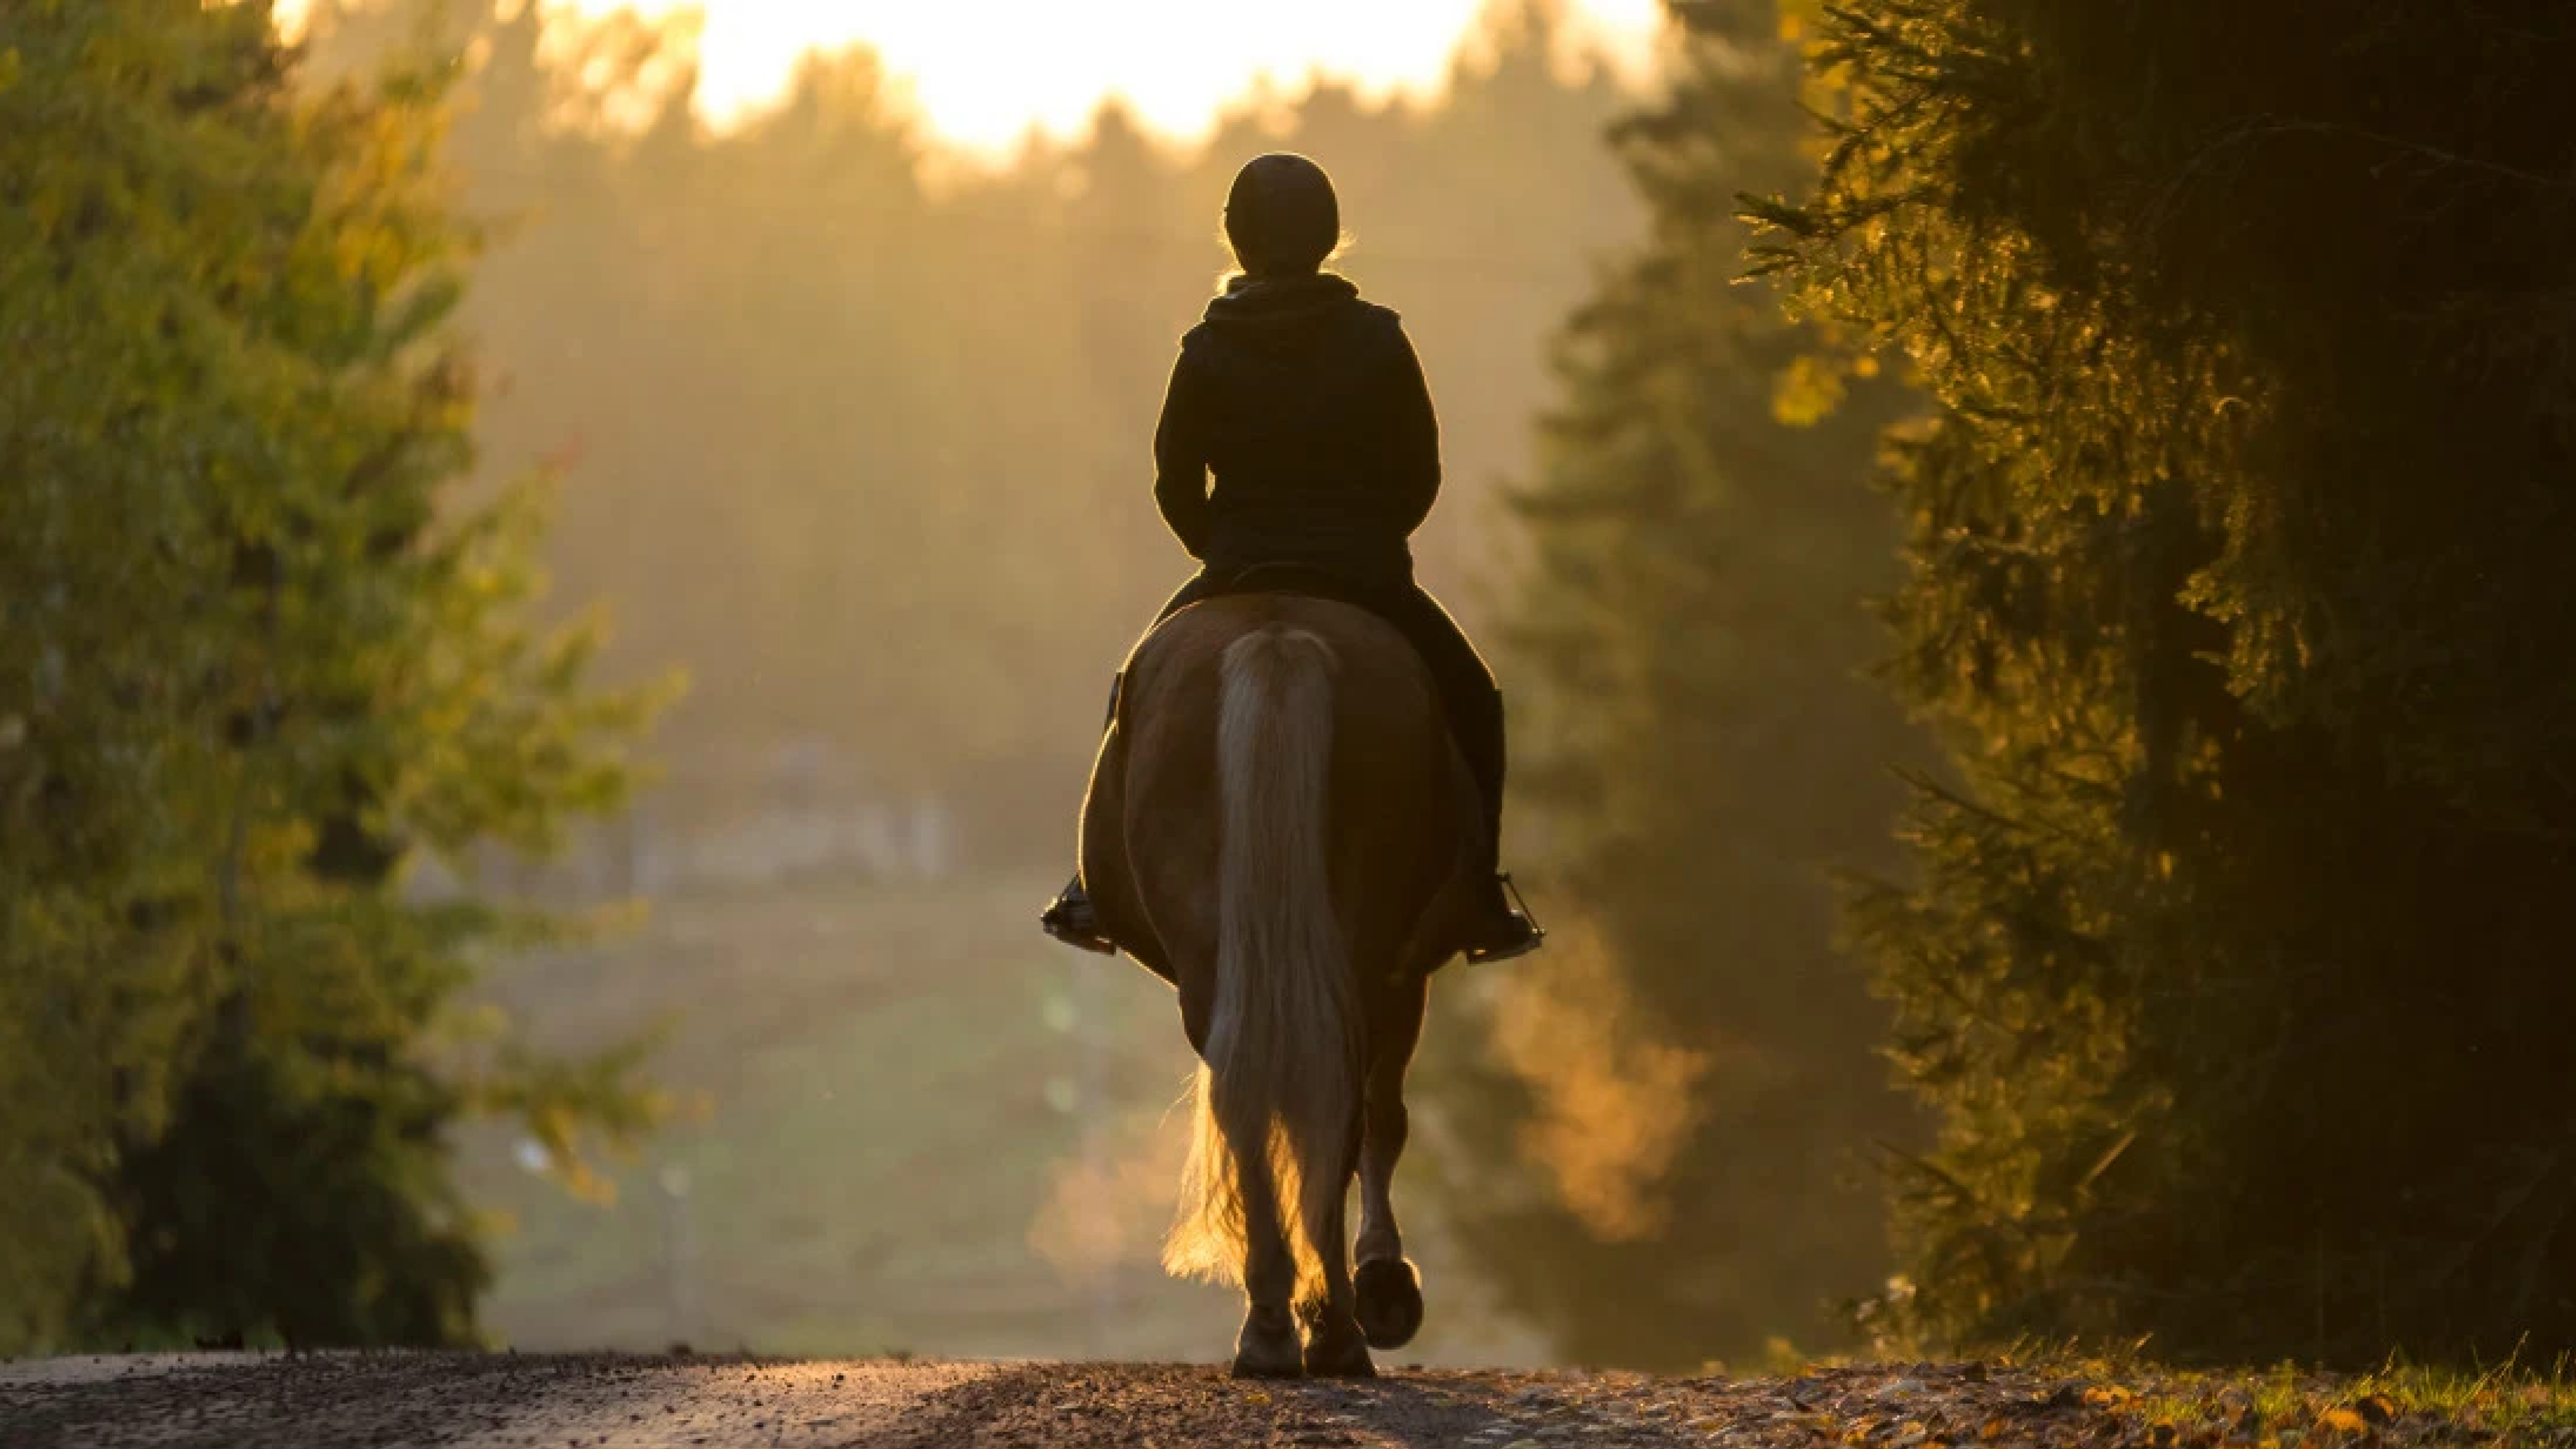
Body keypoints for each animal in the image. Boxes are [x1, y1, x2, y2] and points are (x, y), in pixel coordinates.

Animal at [1076, 591, 1486, 1378]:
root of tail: (1275, 637)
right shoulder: (1405, 976)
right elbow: (1384, 1123)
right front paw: (1382, 1283)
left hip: (1219, 958)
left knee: (1247, 1103)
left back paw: (1270, 1326)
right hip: (1368, 961)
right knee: (1341, 1110)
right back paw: (1334, 1330)